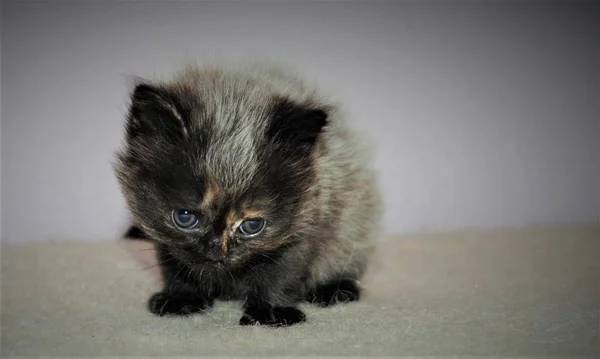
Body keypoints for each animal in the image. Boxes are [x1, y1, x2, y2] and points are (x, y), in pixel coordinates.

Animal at [115, 63, 382, 328]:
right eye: (185, 217)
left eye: (252, 225)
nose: (216, 252)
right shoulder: (164, 237)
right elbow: (177, 267)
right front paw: (182, 298)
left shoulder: (304, 224)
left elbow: (279, 275)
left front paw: (271, 313)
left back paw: (334, 290)